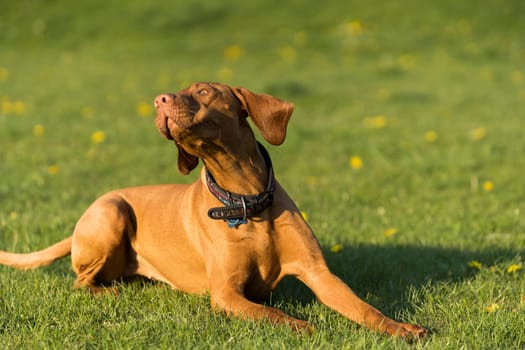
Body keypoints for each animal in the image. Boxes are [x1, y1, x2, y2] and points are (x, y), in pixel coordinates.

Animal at [0, 82, 426, 340]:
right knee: (81, 282)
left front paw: (402, 328)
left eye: (204, 90)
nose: (158, 100)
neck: (246, 202)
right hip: (112, 210)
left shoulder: (319, 274)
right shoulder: (226, 293)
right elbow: (273, 315)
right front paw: (304, 327)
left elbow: (364, 308)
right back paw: (110, 291)